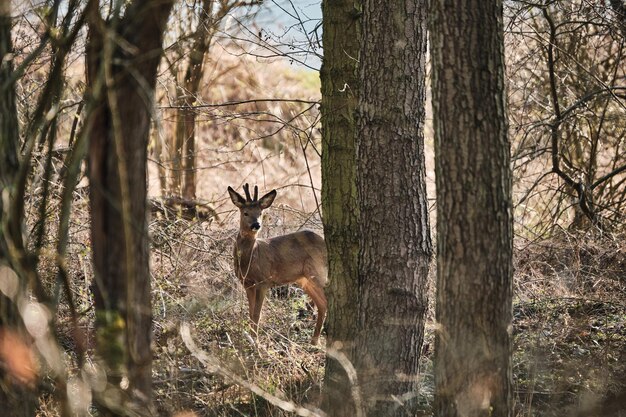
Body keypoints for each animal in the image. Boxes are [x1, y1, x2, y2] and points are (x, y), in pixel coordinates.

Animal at [228, 184, 326, 342]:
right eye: (245, 213)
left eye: (260, 212)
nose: (256, 224)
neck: (250, 259)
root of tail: (324, 242)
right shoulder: (247, 283)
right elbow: (250, 312)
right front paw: (251, 338)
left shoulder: (264, 280)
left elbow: (257, 314)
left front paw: (255, 341)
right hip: (304, 279)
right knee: (322, 304)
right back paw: (314, 341)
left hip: (317, 271)